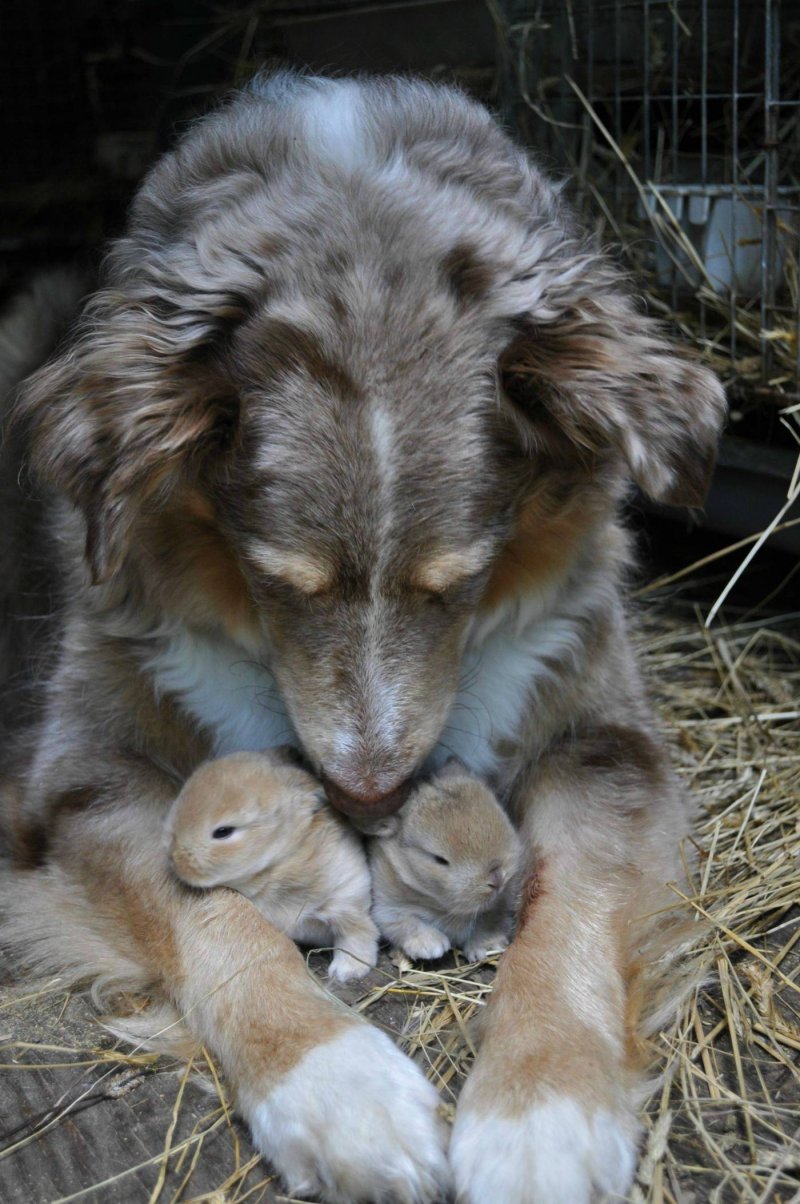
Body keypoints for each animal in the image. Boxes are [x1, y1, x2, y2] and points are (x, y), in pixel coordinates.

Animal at [165, 746, 378, 982]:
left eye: (223, 831)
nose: (174, 858)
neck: (277, 862)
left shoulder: (346, 897)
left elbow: (355, 934)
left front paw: (346, 971)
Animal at [366, 765, 522, 963]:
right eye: (439, 859)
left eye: (502, 818)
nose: (497, 879)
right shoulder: (386, 908)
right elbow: (406, 922)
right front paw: (431, 947)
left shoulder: (501, 904)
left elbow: (490, 921)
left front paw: (487, 947)